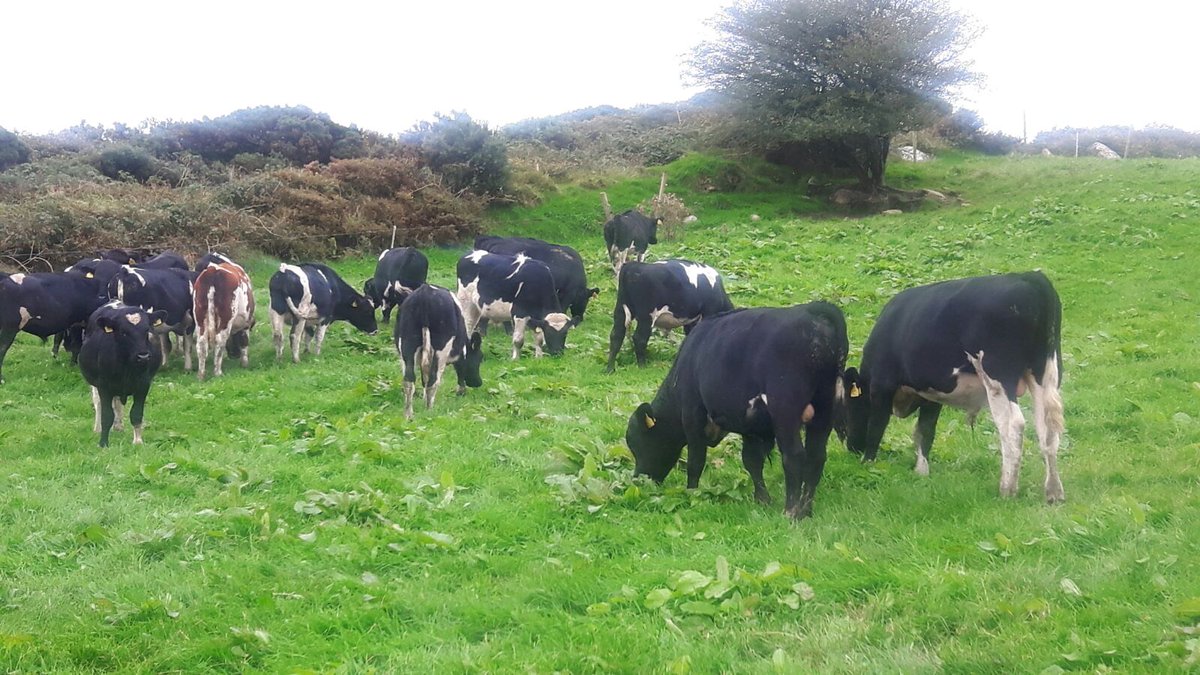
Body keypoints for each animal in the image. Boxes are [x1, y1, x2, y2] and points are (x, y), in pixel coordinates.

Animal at [78, 301, 166, 447]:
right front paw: (103, 443)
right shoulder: (103, 386)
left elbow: (136, 414)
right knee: (98, 403)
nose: (143, 356)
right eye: (124, 332)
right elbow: (107, 415)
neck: (126, 368)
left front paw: (138, 441)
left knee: (117, 402)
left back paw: (118, 426)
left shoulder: (144, 384)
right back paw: (97, 428)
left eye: (147, 330)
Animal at [394, 284, 483, 420]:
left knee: (409, 380)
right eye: (480, 358)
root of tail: (425, 293)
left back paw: (409, 415)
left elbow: (423, 377)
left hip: (407, 343)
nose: (478, 383)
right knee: (433, 381)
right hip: (440, 348)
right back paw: (430, 411)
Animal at [625, 302, 848, 520]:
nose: (637, 480)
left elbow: (695, 461)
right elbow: (752, 461)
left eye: (639, 444)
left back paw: (791, 512)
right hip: (825, 409)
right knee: (816, 456)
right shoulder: (749, 424)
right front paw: (762, 499)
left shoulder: (692, 415)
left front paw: (692, 493)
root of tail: (814, 310)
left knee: (794, 456)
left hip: (786, 409)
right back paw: (805, 510)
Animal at [836, 271, 1065, 503]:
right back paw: (1053, 492)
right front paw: (921, 471)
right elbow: (925, 431)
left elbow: (877, 427)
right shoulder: (931, 393)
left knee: (1013, 425)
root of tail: (1029, 276)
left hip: (998, 376)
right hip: (1046, 372)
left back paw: (1007, 489)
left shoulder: (882, 385)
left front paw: (868, 463)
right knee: (1047, 429)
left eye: (847, 407)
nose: (853, 448)